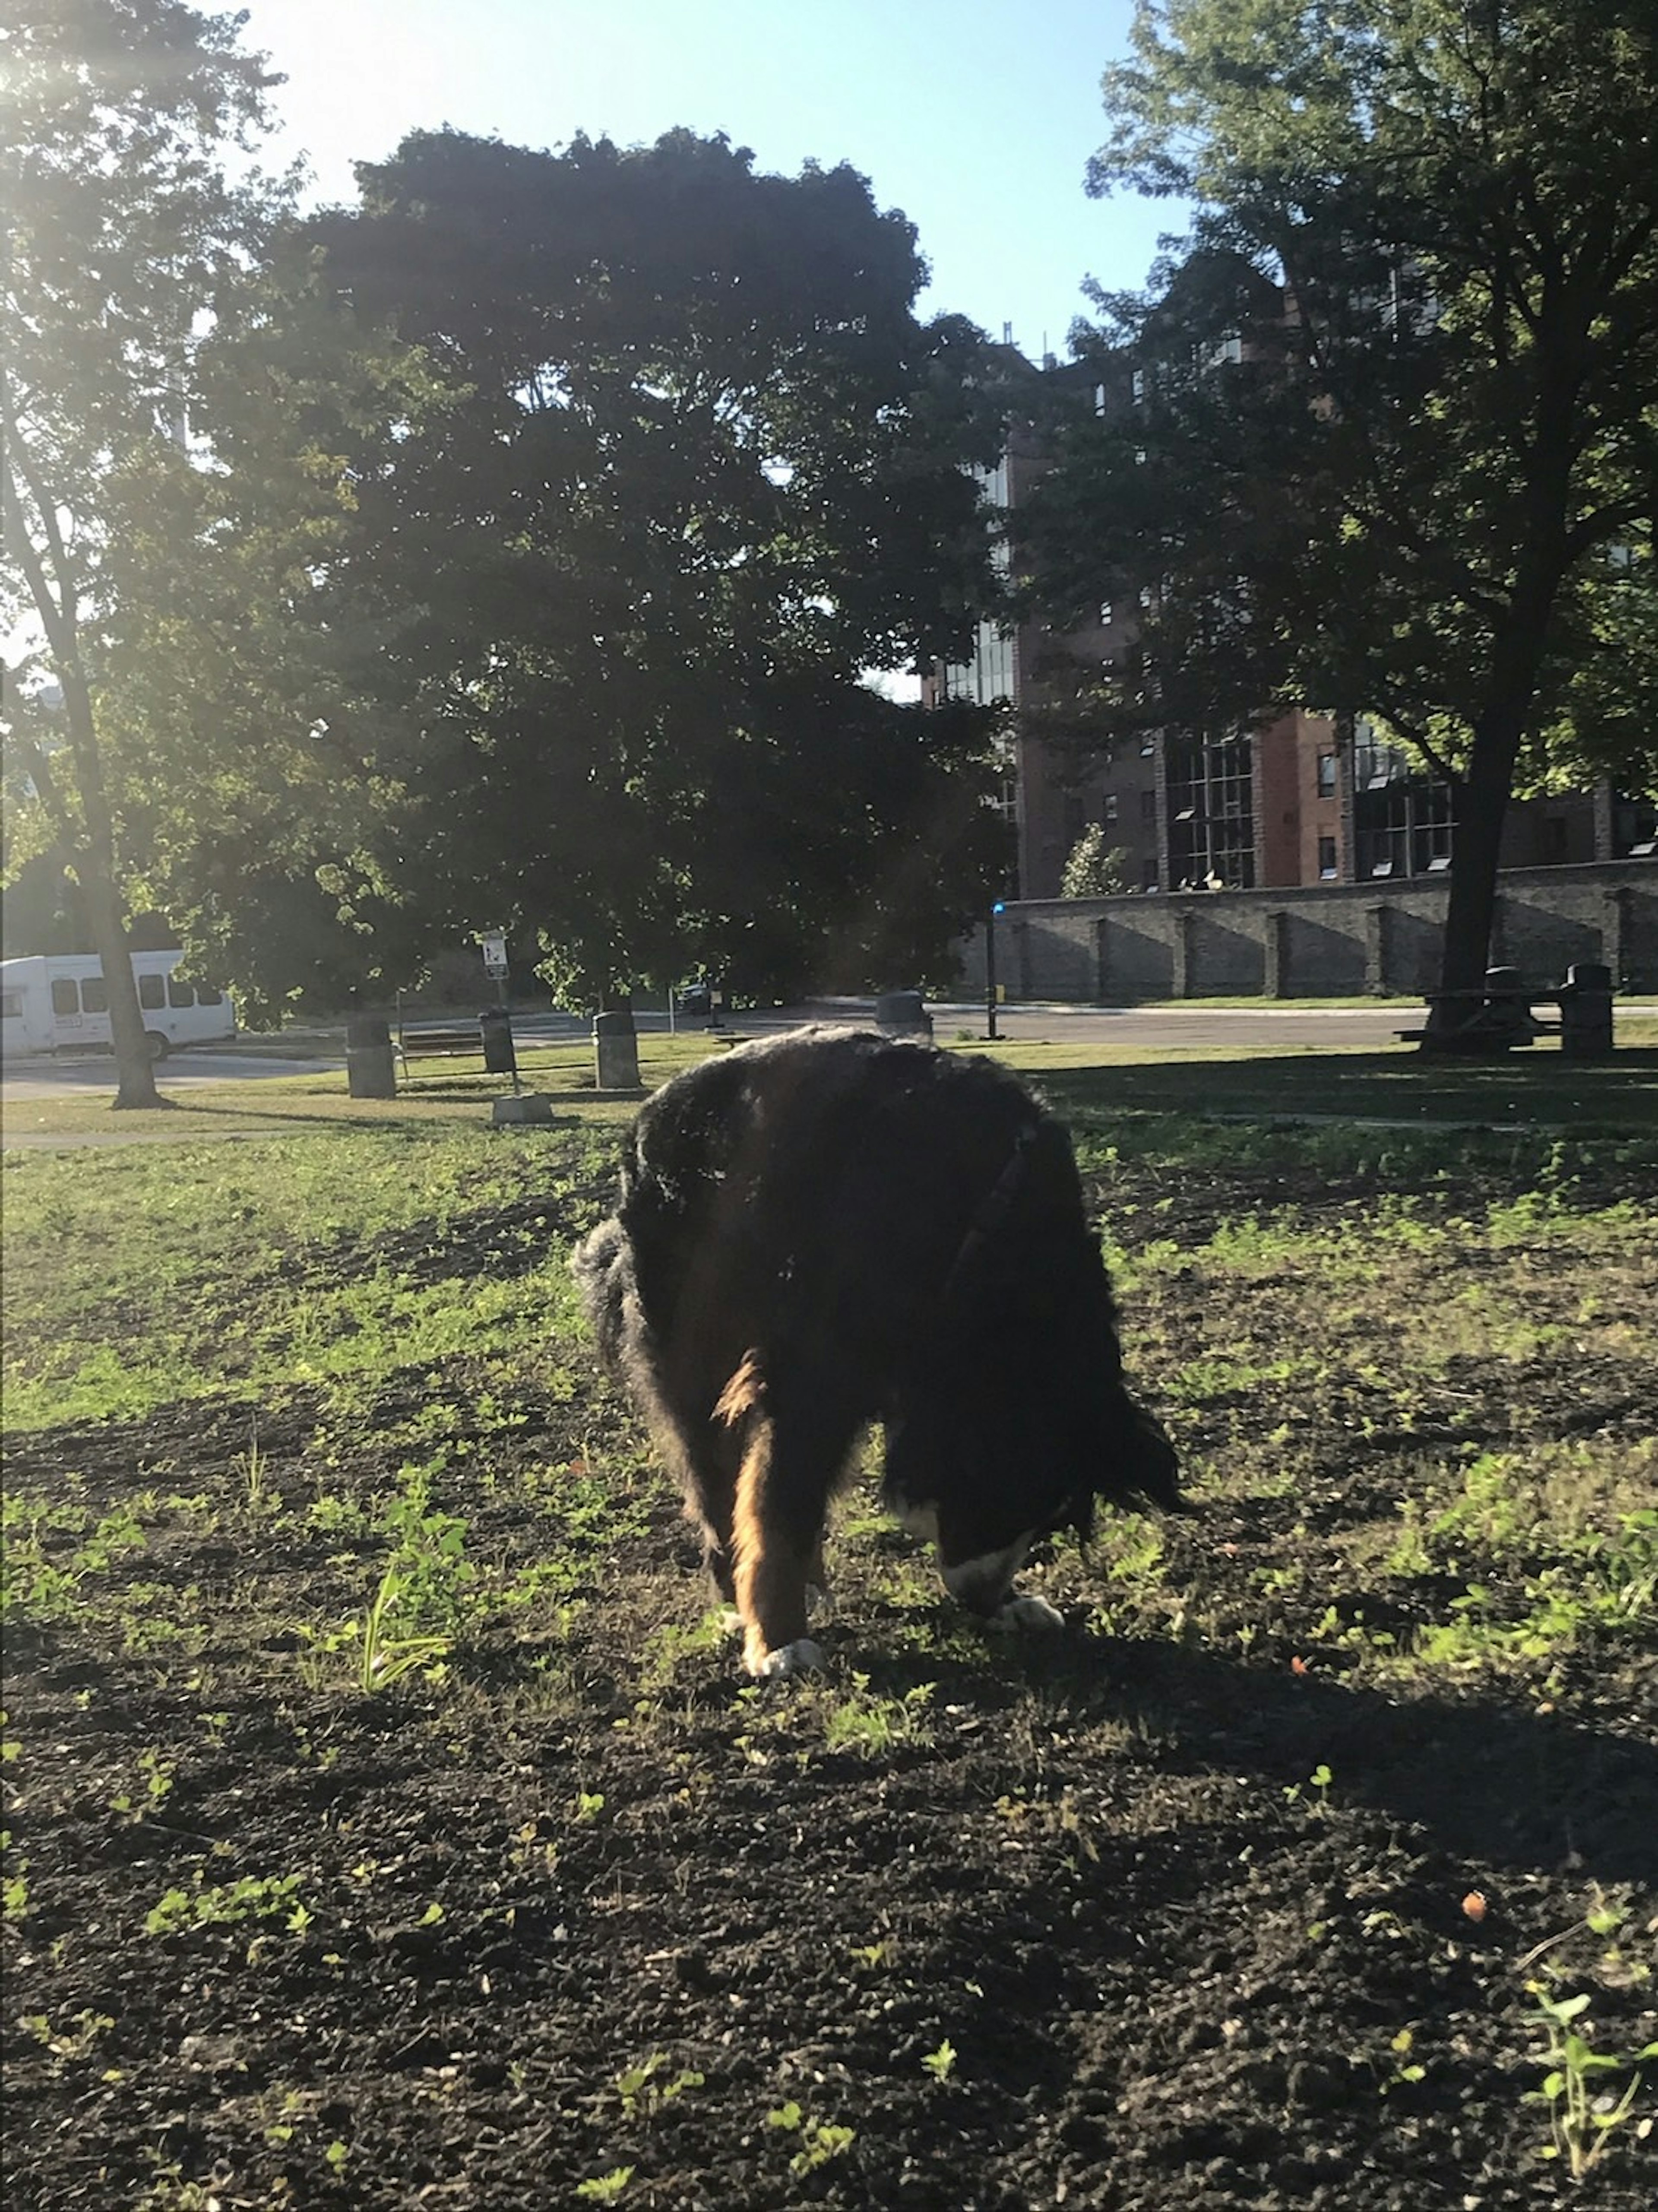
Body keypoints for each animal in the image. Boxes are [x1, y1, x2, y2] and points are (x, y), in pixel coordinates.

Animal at [570, 1022, 1185, 1672]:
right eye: (1006, 1492)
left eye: (1047, 1517)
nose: (982, 1595)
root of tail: (649, 1116)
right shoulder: (810, 1374)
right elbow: (776, 1502)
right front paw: (778, 1638)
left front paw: (1014, 1605)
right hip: (692, 1331)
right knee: (714, 1475)